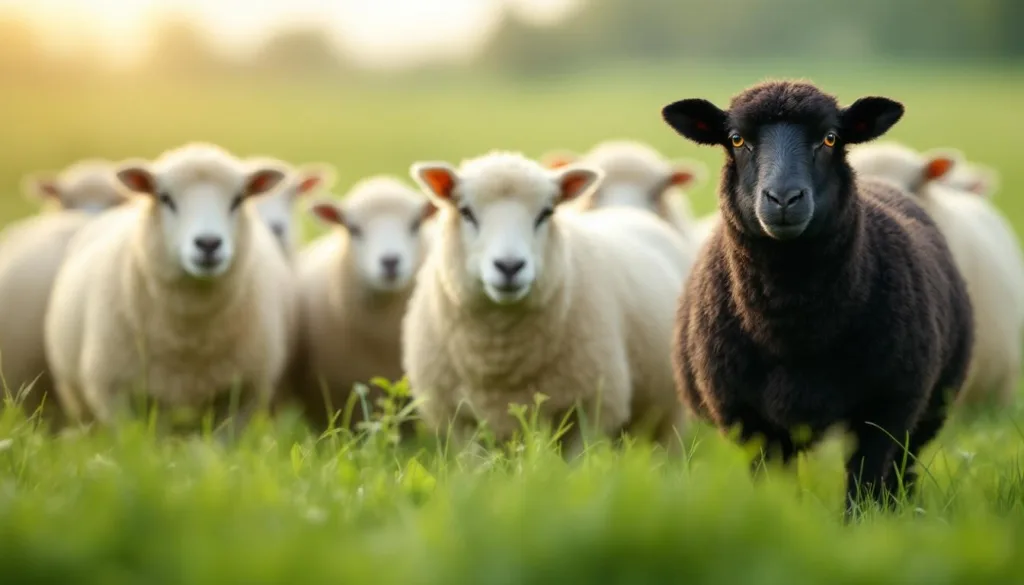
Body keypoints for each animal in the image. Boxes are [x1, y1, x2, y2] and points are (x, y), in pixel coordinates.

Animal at [44, 143, 298, 429]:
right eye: (165, 198)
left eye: (238, 199)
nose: (208, 243)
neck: (189, 335)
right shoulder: (114, 392)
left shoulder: (245, 393)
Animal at [403, 151, 688, 455]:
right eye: (466, 212)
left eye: (546, 213)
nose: (509, 266)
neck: (499, 357)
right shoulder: (458, 421)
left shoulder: (592, 409)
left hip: (669, 412)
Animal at [662, 81, 973, 516]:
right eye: (737, 139)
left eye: (829, 138)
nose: (783, 198)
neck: (793, 325)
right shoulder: (748, 420)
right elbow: (774, 489)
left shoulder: (886, 409)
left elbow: (865, 488)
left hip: (930, 408)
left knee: (904, 469)